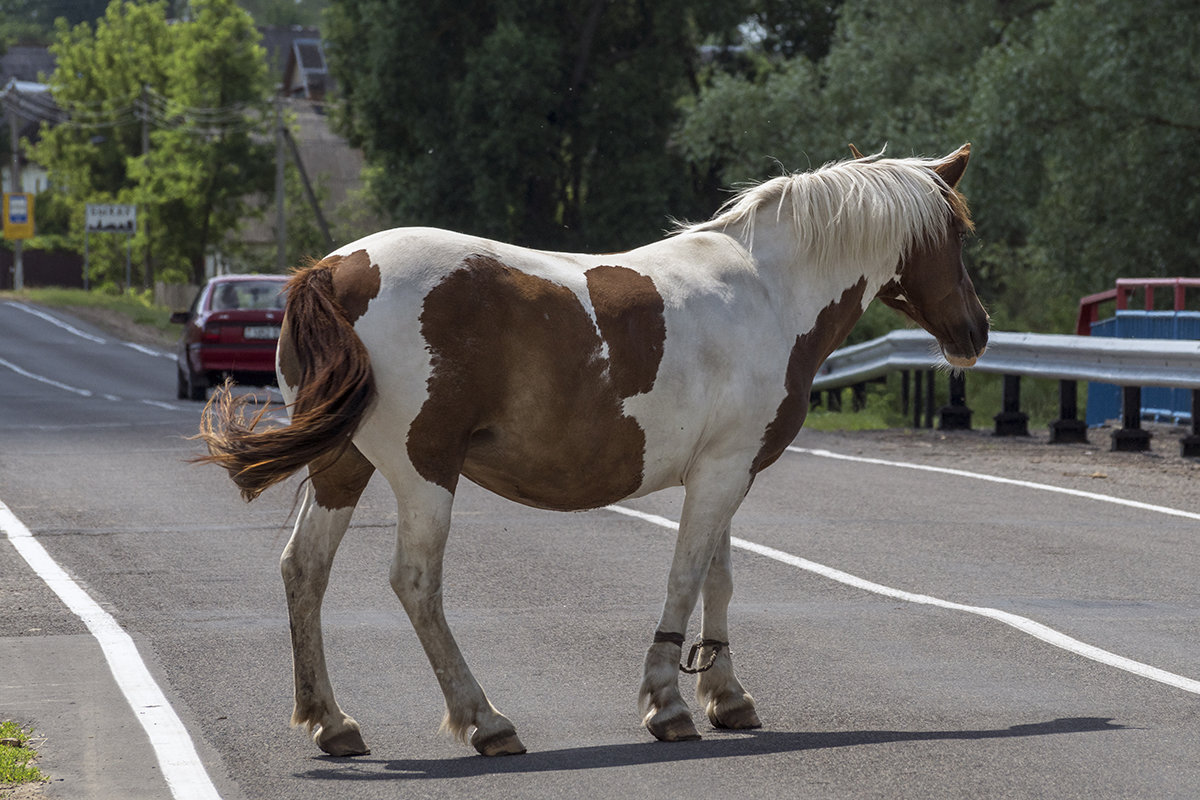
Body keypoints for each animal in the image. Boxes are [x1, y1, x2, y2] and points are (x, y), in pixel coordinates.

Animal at [196, 142, 984, 758]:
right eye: (957, 231)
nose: (975, 331)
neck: (766, 290)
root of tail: (334, 270)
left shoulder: (724, 472)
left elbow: (718, 579)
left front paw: (726, 695)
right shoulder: (722, 474)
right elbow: (685, 579)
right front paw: (668, 704)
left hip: (343, 465)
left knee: (304, 570)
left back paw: (331, 722)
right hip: (424, 473)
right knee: (415, 585)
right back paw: (485, 720)